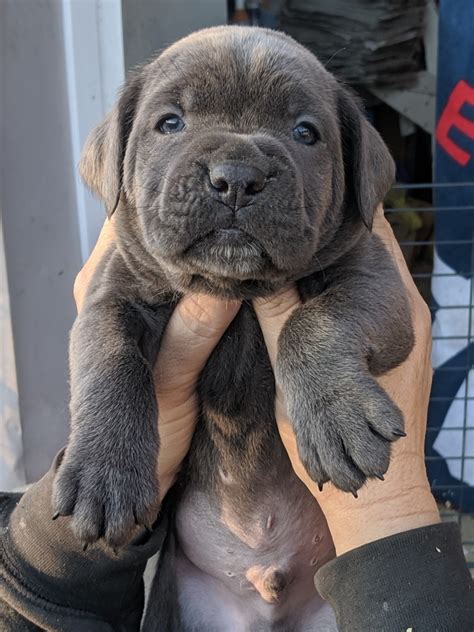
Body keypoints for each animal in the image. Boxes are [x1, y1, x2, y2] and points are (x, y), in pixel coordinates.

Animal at [53, 23, 412, 628]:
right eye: (170, 123)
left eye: (305, 132)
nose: (238, 178)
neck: (236, 295)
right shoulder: (109, 294)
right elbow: (110, 359)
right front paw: (102, 472)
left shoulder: (377, 280)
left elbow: (315, 321)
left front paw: (337, 419)